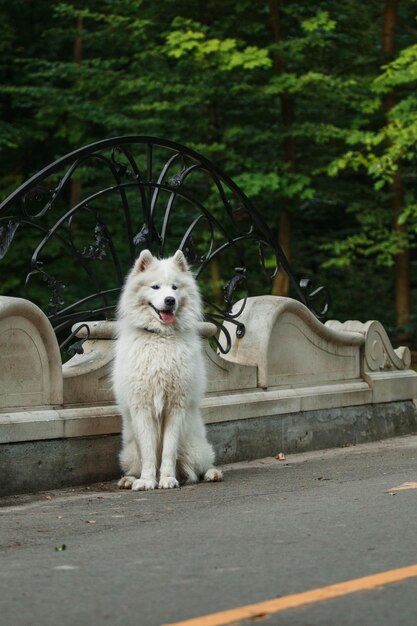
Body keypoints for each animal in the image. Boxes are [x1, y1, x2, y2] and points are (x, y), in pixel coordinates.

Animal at [110, 247, 221, 488]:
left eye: (175, 287)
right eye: (155, 287)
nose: (170, 300)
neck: (161, 338)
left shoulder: (176, 407)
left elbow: (168, 450)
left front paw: (167, 478)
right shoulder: (142, 408)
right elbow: (149, 453)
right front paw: (147, 481)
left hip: (193, 448)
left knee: (203, 466)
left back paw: (212, 474)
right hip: (129, 452)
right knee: (135, 465)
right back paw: (128, 480)